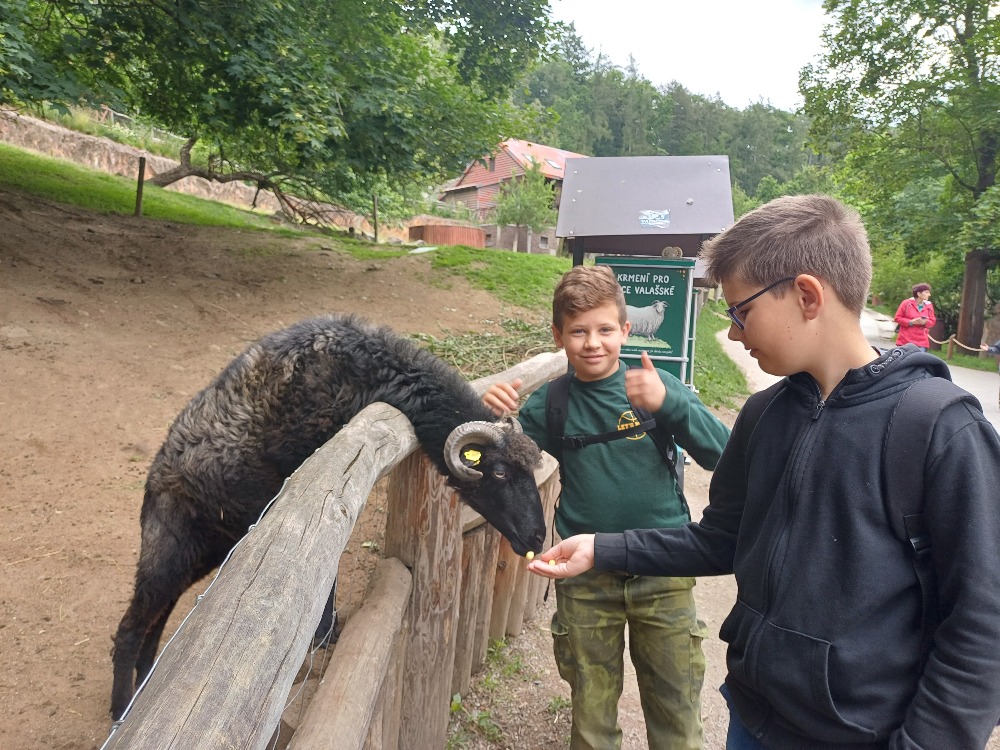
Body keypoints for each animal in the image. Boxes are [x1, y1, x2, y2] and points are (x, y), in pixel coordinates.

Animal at [109, 314, 546, 721]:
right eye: (500, 473)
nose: (539, 538)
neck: (363, 367)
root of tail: (153, 479)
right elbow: (326, 567)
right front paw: (324, 633)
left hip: (200, 553)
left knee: (156, 622)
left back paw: (145, 680)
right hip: (165, 552)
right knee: (130, 630)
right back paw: (122, 707)